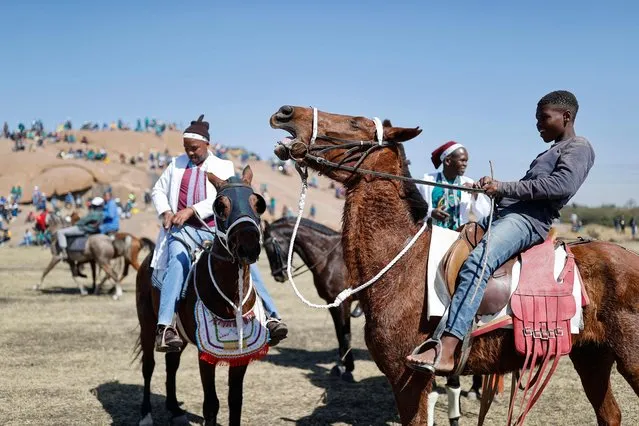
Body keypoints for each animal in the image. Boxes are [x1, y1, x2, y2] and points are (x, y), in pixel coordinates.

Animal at [136, 166, 266, 426]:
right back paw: (146, 414)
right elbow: (211, 404)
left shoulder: (241, 354)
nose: (248, 246)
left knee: (171, 364)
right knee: (149, 367)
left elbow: (235, 401)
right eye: (220, 206)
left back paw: (174, 408)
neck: (231, 298)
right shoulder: (205, 355)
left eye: (258, 204)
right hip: (147, 324)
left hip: (179, 336)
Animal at [262, 218, 358, 382]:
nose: (278, 275)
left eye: (270, 246)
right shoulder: (332, 304)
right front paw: (341, 366)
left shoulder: (343, 304)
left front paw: (348, 369)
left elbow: (346, 335)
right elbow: (339, 334)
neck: (330, 258)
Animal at [272, 104, 639, 426]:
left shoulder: (407, 379)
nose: (286, 112)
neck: (404, 263)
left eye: (355, 122)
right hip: (591, 356)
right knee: (610, 414)